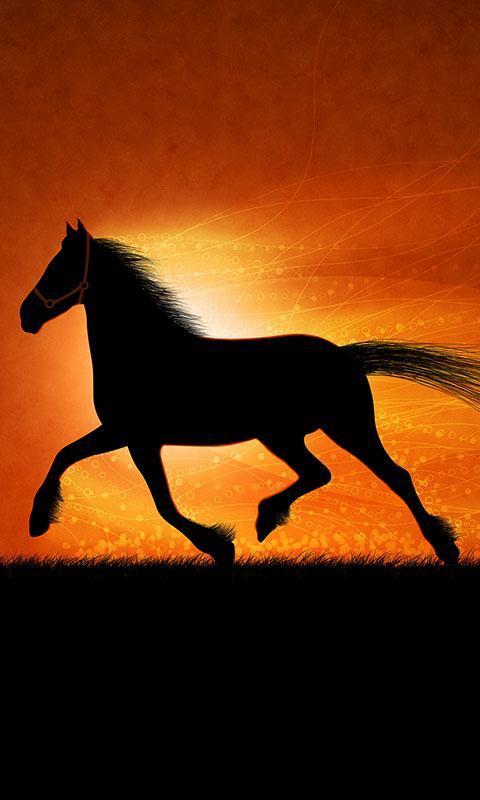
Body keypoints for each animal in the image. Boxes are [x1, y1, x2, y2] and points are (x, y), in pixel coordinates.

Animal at [22, 219, 480, 569]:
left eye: (59, 268)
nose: (25, 315)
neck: (146, 352)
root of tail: (345, 355)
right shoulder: (123, 434)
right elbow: (65, 455)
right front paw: (39, 521)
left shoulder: (136, 437)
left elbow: (162, 503)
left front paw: (220, 547)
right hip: (287, 435)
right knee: (321, 473)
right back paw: (267, 518)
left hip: (343, 427)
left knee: (391, 476)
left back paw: (445, 548)